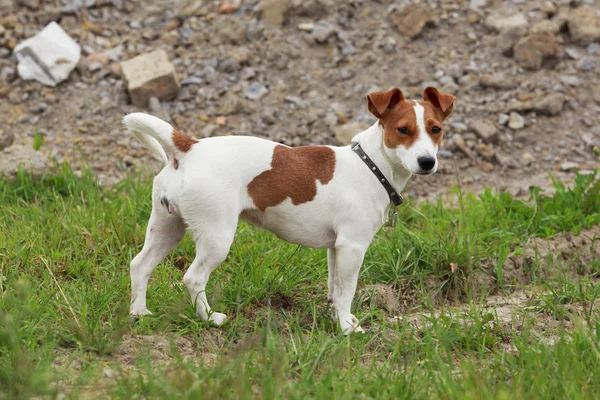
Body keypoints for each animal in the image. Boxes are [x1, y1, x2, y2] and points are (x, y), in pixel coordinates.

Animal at [124, 87, 458, 334]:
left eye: (436, 129)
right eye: (403, 130)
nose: (427, 161)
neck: (370, 164)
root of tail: (189, 148)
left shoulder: (336, 248)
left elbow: (335, 288)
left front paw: (338, 318)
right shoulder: (352, 247)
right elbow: (347, 290)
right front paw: (347, 328)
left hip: (167, 228)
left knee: (140, 266)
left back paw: (140, 313)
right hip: (216, 236)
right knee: (193, 278)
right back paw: (209, 319)